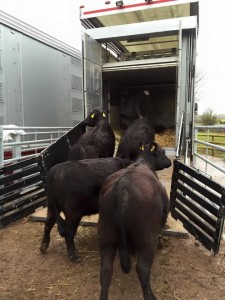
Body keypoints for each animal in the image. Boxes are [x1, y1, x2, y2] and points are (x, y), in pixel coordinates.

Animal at [98, 142, 171, 300]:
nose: (170, 162)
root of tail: (122, 183)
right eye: (163, 152)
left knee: (106, 271)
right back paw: (150, 295)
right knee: (142, 269)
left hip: (106, 233)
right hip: (147, 236)